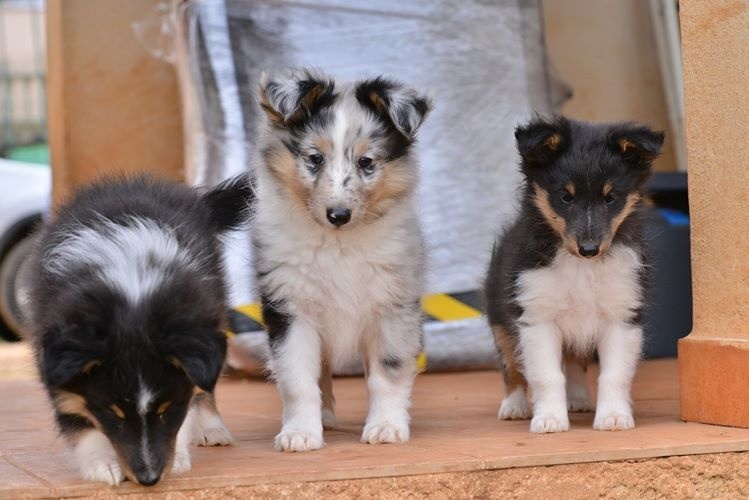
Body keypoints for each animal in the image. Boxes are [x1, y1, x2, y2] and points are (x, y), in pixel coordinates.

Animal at [24, 175, 251, 484]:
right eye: (114, 415)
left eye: (167, 410)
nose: (149, 479)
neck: (133, 290)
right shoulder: (53, 349)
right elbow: (75, 417)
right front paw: (103, 464)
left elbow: (188, 404)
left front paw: (178, 457)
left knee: (206, 386)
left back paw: (213, 429)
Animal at [251, 68, 430, 452]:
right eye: (314, 158)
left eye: (366, 162)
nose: (338, 215)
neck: (338, 245)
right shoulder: (291, 309)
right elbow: (300, 379)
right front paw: (300, 433)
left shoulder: (392, 306)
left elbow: (387, 374)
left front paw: (386, 427)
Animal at [488, 116, 664, 434]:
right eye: (565, 197)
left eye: (611, 198)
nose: (589, 249)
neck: (583, 267)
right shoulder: (537, 317)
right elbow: (546, 375)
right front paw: (549, 420)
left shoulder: (622, 315)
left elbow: (613, 374)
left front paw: (613, 418)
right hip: (500, 322)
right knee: (512, 368)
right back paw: (514, 407)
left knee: (574, 362)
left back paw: (579, 399)